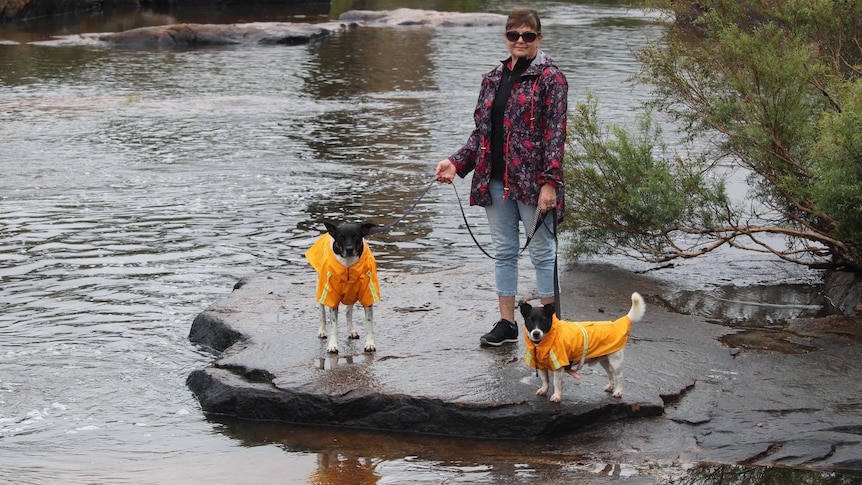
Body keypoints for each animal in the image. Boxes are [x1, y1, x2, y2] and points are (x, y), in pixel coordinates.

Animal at [308, 221, 382, 354]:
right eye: (341, 237)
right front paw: (332, 345)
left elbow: (369, 324)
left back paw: (351, 330)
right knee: (321, 311)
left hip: (351, 293)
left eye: (356, 236)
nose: (349, 249)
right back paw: (322, 330)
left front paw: (370, 344)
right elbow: (333, 326)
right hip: (321, 287)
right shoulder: (332, 298)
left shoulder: (367, 294)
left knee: (348, 312)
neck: (348, 265)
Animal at [520, 294, 648, 402]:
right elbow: (545, 380)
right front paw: (544, 389)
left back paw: (618, 391)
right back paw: (610, 387)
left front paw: (556, 396)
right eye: (530, 320)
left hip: (615, 361)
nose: (536, 333)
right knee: (610, 373)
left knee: (619, 376)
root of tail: (616, 324)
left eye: (544, 320)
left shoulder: (559, 368)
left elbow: (556, 383)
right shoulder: (542, 366)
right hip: (605, 360)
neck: (542, 343)